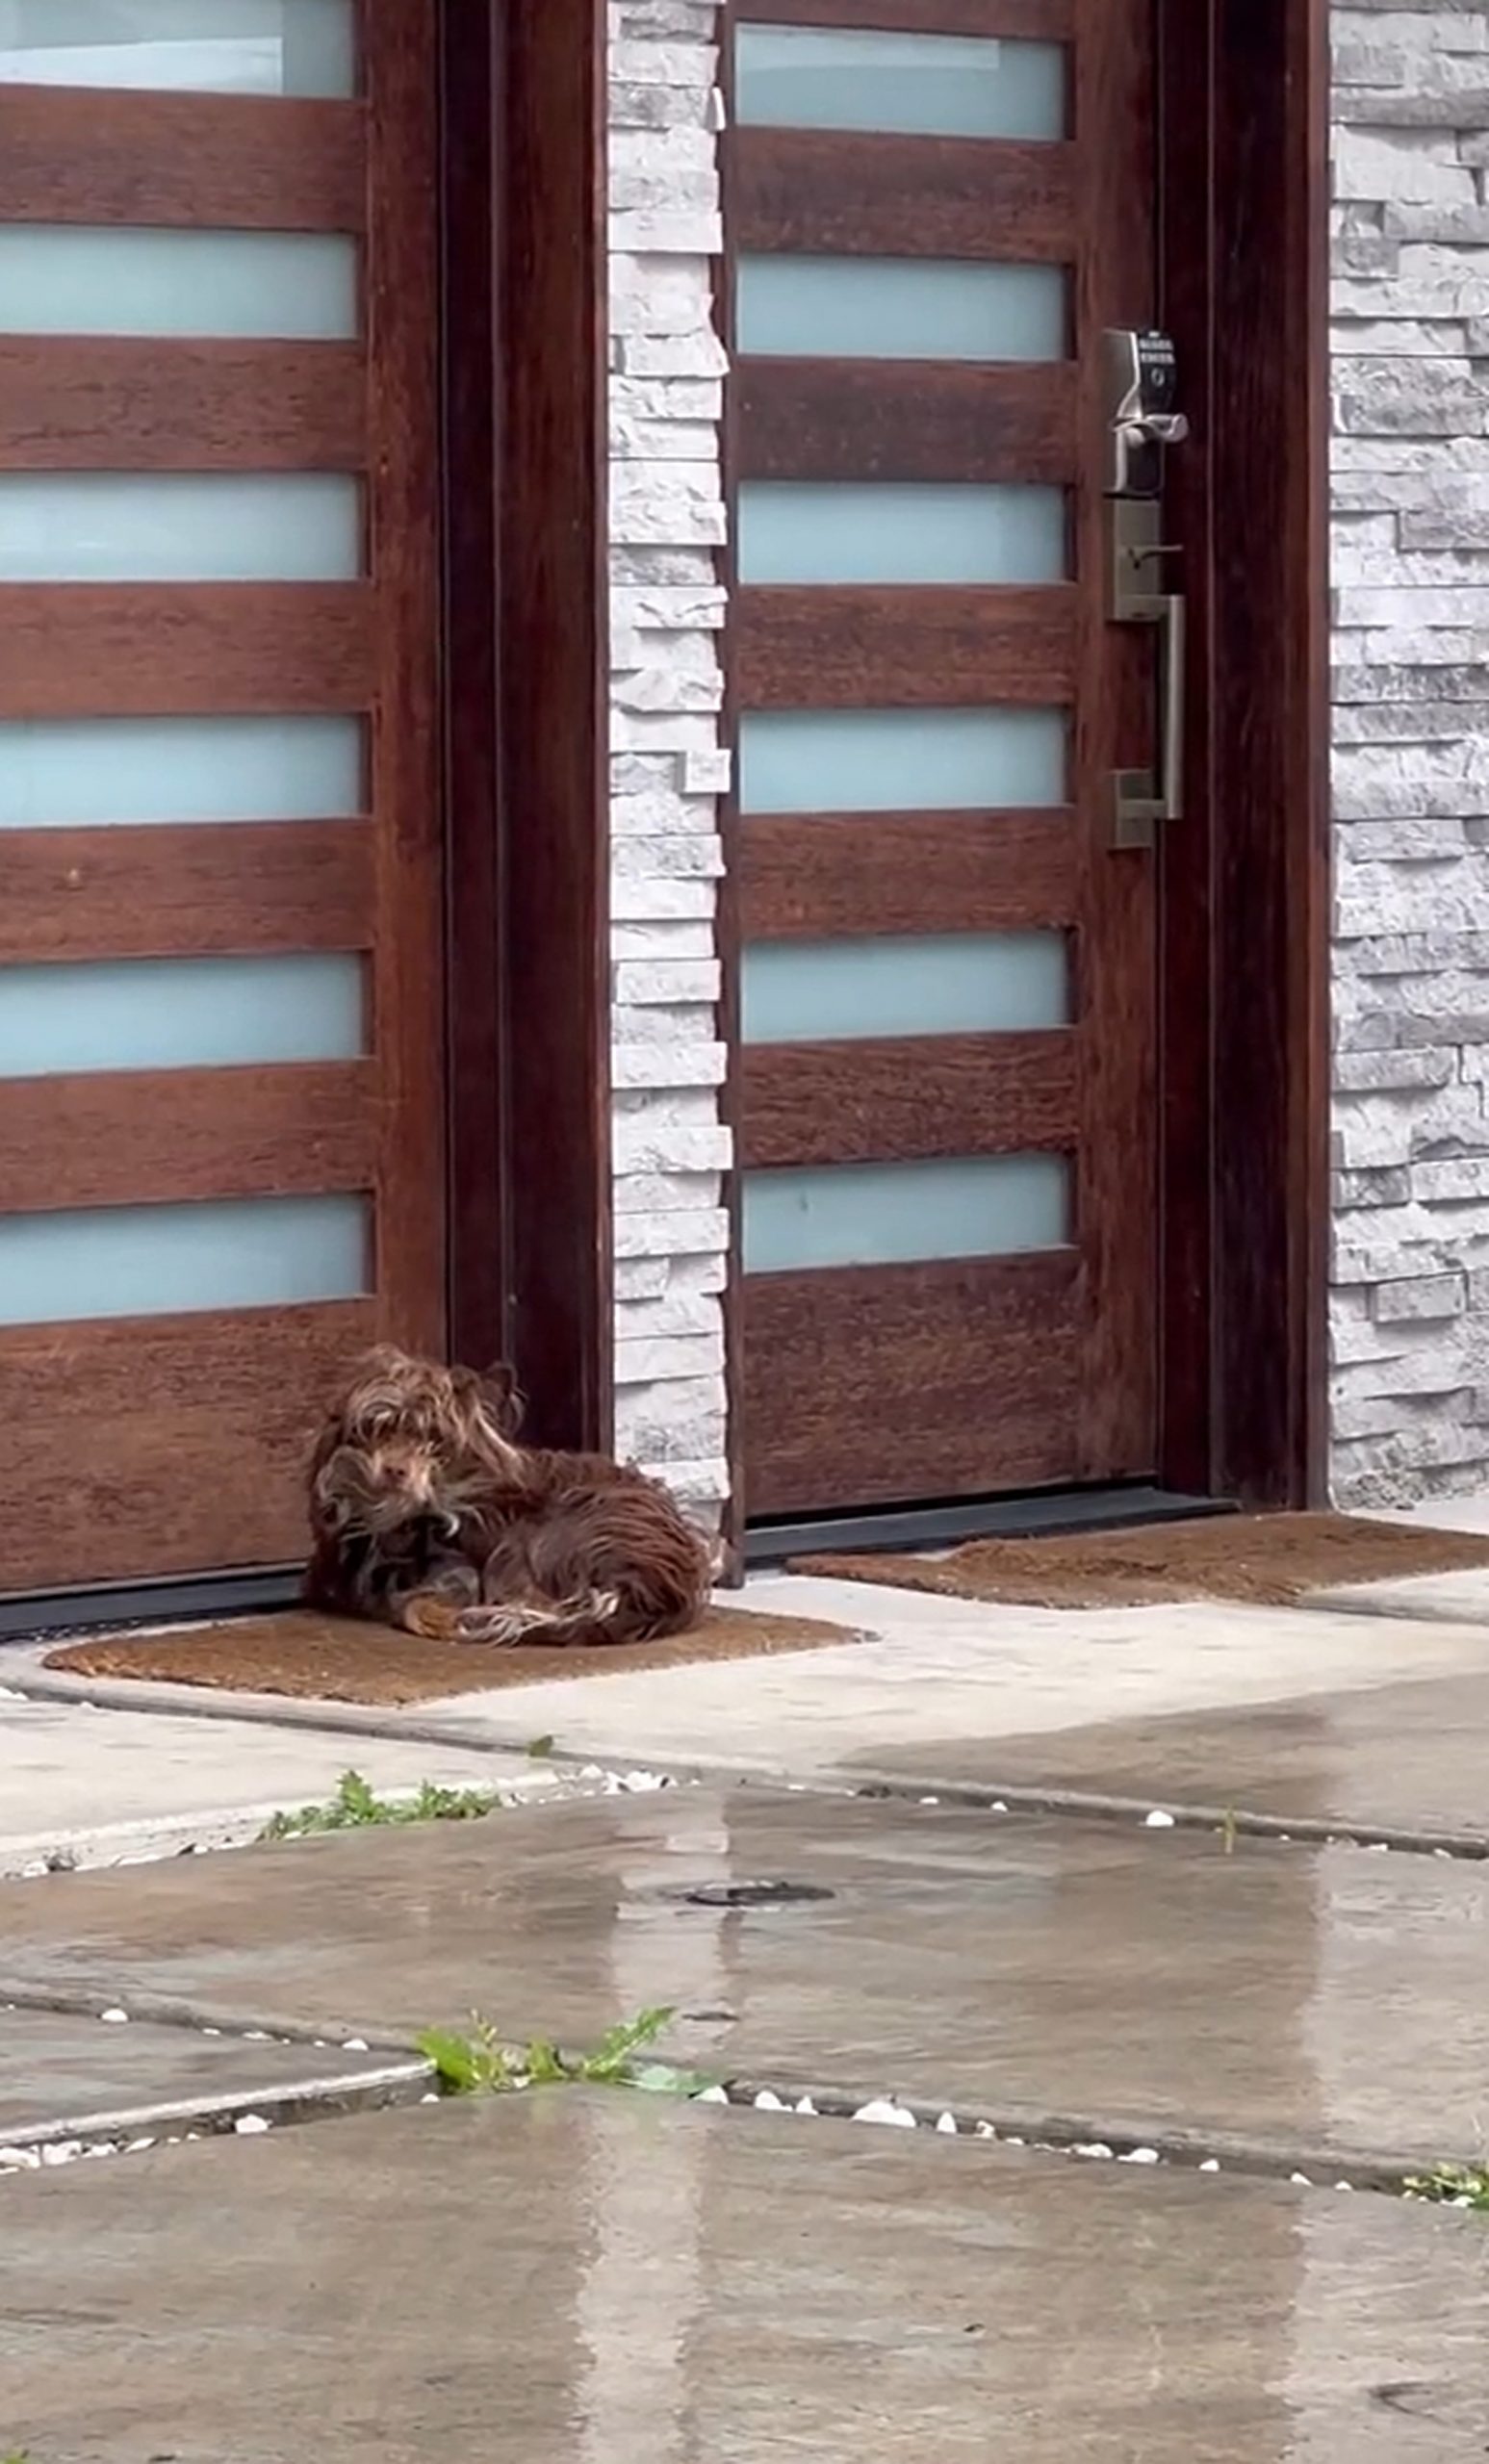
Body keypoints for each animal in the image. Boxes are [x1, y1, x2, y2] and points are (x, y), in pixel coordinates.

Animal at [305, 1340, 714, 1646]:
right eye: (378, 1428)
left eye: (436, 1440)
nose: (394, 1470)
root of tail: (650, 1594)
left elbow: (421, 1600)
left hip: (537, 1538)